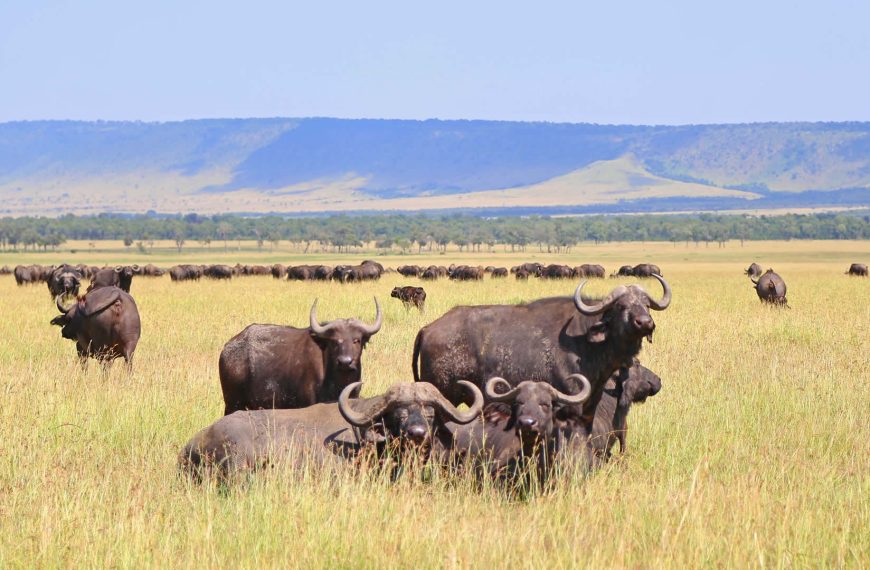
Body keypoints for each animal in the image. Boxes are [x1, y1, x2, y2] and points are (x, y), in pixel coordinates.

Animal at [219, 298, 383, 415]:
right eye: (334, 341)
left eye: (357, 340)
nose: (345, 362)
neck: (338, 381)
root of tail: (226, 349)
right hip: (232, 403)